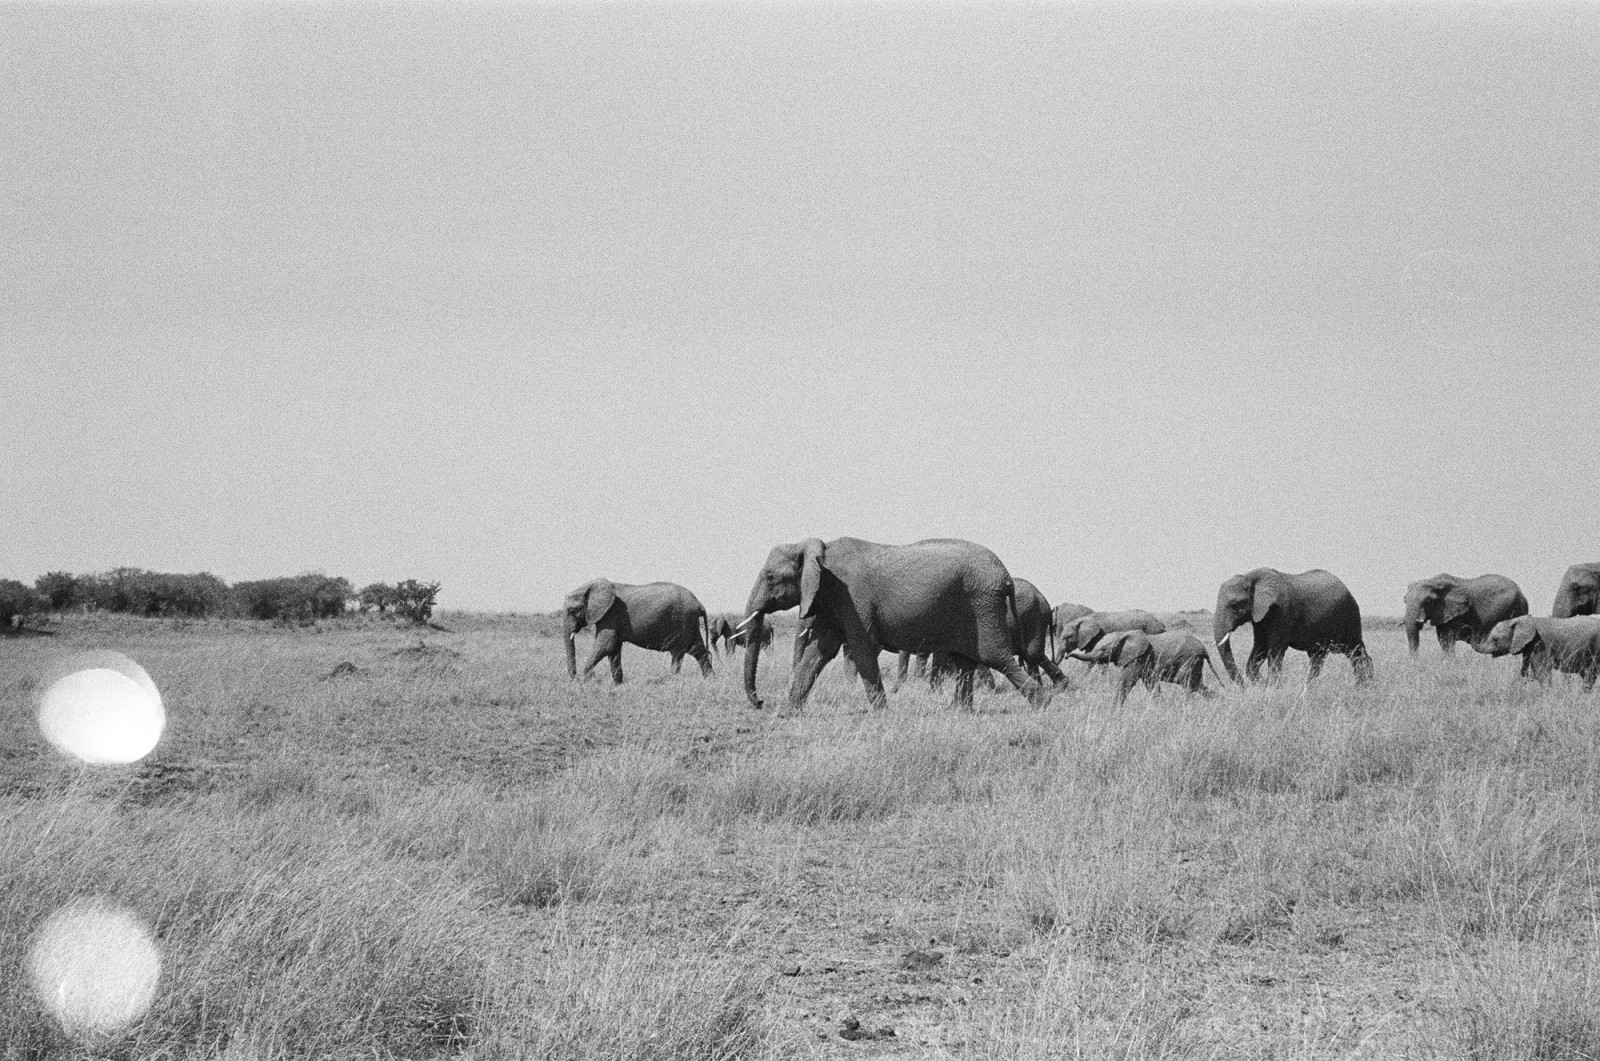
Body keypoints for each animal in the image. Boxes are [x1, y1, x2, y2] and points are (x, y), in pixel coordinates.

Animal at [562, 579, 713, 683]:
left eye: (572, 610)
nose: (574, 680)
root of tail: (699, 604)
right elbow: (614, 649)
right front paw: (618, 684)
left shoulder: (611, 615)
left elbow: (606, 645)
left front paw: (589, 680)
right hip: (690, 623)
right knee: (698, 650)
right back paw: (710, 680)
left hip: (683, 621)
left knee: (678, 653)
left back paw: (672, 681)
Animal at [738, 537, 1050, 714]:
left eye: (770, 577)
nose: (761, 703)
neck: (818, 549)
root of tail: (1005, 575)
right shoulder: (836, 601)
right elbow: (820, 651)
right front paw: (790, 712)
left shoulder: (853, 598)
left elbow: (862, 649)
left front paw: (881, 714)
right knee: (966, 661)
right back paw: (959, 711)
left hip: (982, 604)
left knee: (994, 656)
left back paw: (1040, 704)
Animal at [1067, 630, 1224, 705]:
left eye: (1104, 649)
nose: (1067, 656)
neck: (1125, 634)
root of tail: (1204, 649)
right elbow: (1150, 683)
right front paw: (1159, 705)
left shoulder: (1139, 658)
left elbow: (1127, 681)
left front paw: (1114, 709)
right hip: (1194, 661)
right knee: (1196, 684)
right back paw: (1213, 701)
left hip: (1190, 659)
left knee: (1187, 683)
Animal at [1213, 568, 1373, 685]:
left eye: (1234, 605)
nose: (1244, 688)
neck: (1250, 577)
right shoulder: (1260, 616)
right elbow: (1260, 647)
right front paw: (1262, 685)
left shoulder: (1281, 612)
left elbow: (1275, 649)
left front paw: (1271, 688)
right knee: (1319, 658)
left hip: (1350, 615)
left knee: (1355, 652)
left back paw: (1363, 686)